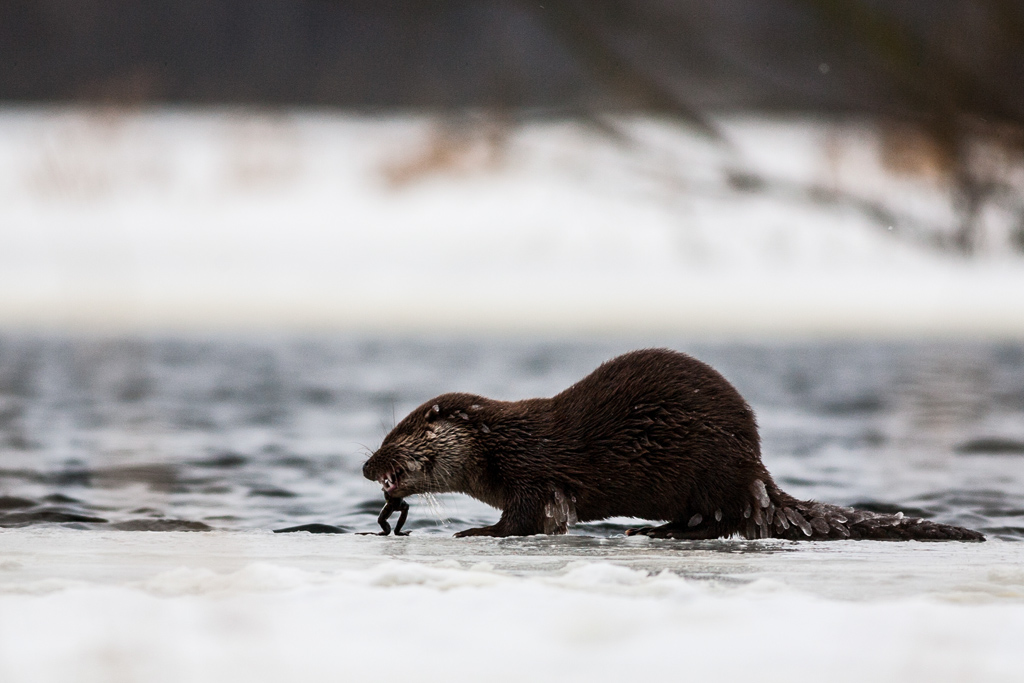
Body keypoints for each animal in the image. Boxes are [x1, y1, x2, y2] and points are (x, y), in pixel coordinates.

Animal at [362, 349, 984, 541]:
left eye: (398, 434)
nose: (368, 467)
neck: (503, 444)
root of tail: (757, 469)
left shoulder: (534, 473)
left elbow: (521, 519)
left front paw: (477, 532)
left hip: (710, 468)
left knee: (720, 521)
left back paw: (659, 531)